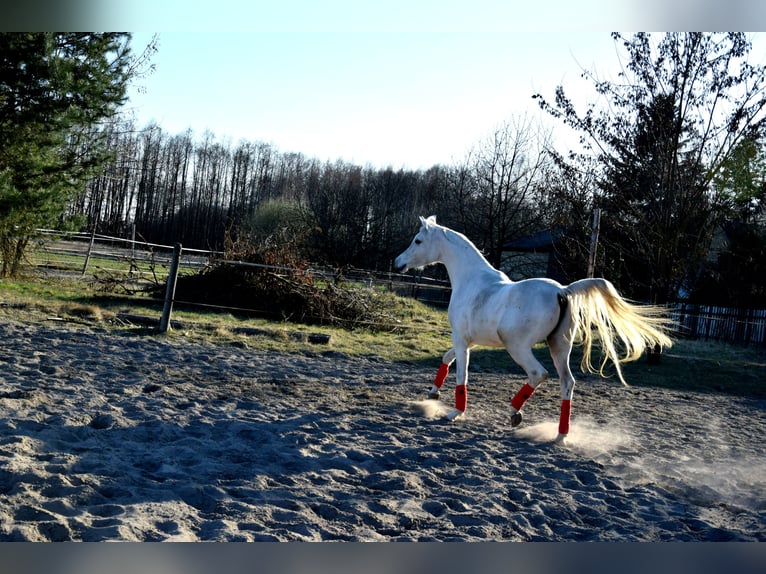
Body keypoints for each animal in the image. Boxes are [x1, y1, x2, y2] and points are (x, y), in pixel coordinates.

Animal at [394, 215, 673, 444]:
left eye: (418, 240)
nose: (397, 263)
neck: (473, 282)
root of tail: (562, 291)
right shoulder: (469, 341)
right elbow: (446, 358)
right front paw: (432, 393)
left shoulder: (462, 341)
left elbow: (461, 375)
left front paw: (455, 412)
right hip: (559, 346)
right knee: (567, 383)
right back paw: (560, 435)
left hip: (518, 347)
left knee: (539, 373)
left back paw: (514, 412)